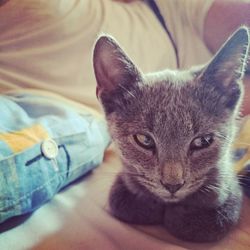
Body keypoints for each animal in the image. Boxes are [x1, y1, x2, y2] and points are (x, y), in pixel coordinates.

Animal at [93, 26, 249, 242]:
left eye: (203, 141)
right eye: (144, 140)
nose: (172, 185)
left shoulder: (231, 185)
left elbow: (218, 218)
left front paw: (181, 216)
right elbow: (121, 200)